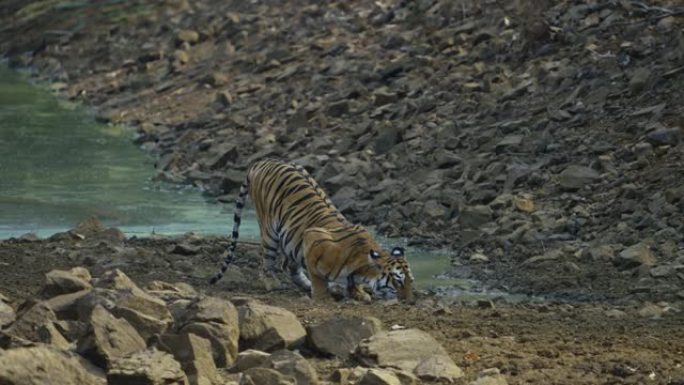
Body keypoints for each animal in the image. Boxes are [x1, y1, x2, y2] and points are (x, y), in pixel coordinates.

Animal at [208, 158, 412, 302]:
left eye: (411, 280)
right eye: (398, 280)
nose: (410, 301)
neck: (361, 265)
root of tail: (262, 161)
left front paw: (358, 293)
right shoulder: (312, 237)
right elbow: (317, 276)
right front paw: (323, 297)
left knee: (288, 265)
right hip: (269, 231)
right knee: (267, 262)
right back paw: (272, 283)